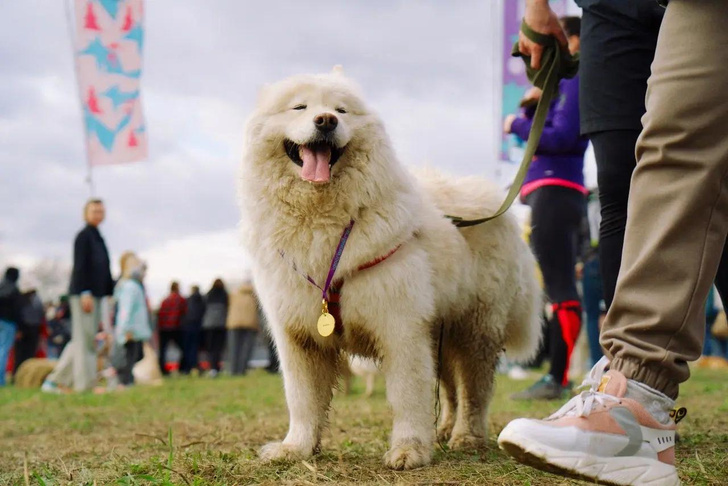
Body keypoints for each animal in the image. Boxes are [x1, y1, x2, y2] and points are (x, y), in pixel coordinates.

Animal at [239, 68, 540, 470]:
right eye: (299, 107)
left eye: (341, 110)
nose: (326, 121)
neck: (321, 220)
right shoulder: (300, 338)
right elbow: (302, 402)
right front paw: (296, 449)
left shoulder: (401, 328)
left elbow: (407, 397)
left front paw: (409, 450)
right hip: (442, 333)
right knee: (451, 388)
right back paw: (444, 430)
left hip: (477, 329)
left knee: (474, 391)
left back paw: (466, 438)